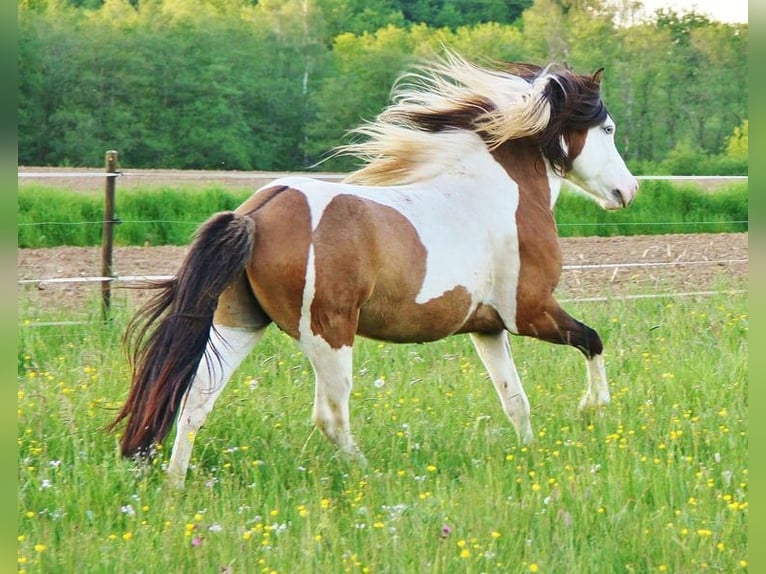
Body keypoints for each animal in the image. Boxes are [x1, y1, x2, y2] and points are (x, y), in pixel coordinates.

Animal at [109, 52, 638, 488]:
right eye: (609, 129)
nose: (628, 191)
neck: (499, 192)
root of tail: (256, 214)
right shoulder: (528, 312)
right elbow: (592, 340)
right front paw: (592, 408)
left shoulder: (487, 327)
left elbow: (515, 398)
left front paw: (529, 452)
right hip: (329, 332)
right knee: (330, 415)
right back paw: (371, 476)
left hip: (238, 323)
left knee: (196, 402)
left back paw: (176, 487)